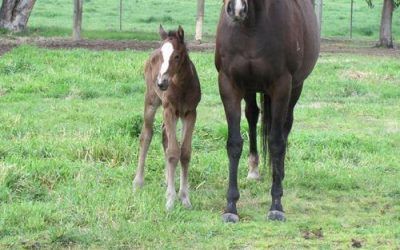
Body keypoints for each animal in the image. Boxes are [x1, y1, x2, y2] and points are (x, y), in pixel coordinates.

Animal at [134, 25, 202, 210]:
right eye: (161, 56)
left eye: (177, 56)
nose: (161, 83)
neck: (182, 87)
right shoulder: (169, 110)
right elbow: (173, 152)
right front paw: (171, 200)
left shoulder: (190, 113)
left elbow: (184, 152)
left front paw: (184, 197)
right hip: (151, 101)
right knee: (146, 135)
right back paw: (138, 181)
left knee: (165, 135)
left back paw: (166, 180)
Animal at [214, 0, 320, 223]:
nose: (236, 10)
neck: (250, 28)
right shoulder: (229, 84)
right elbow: (234, 143)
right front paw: (230, 206)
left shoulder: (282, 85)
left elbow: (276, 143)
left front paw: (276, 204)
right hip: (250, 87)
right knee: (252, 115)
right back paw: (254, 169)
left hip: (295, 88)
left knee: (286, 126)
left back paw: (279, 174)